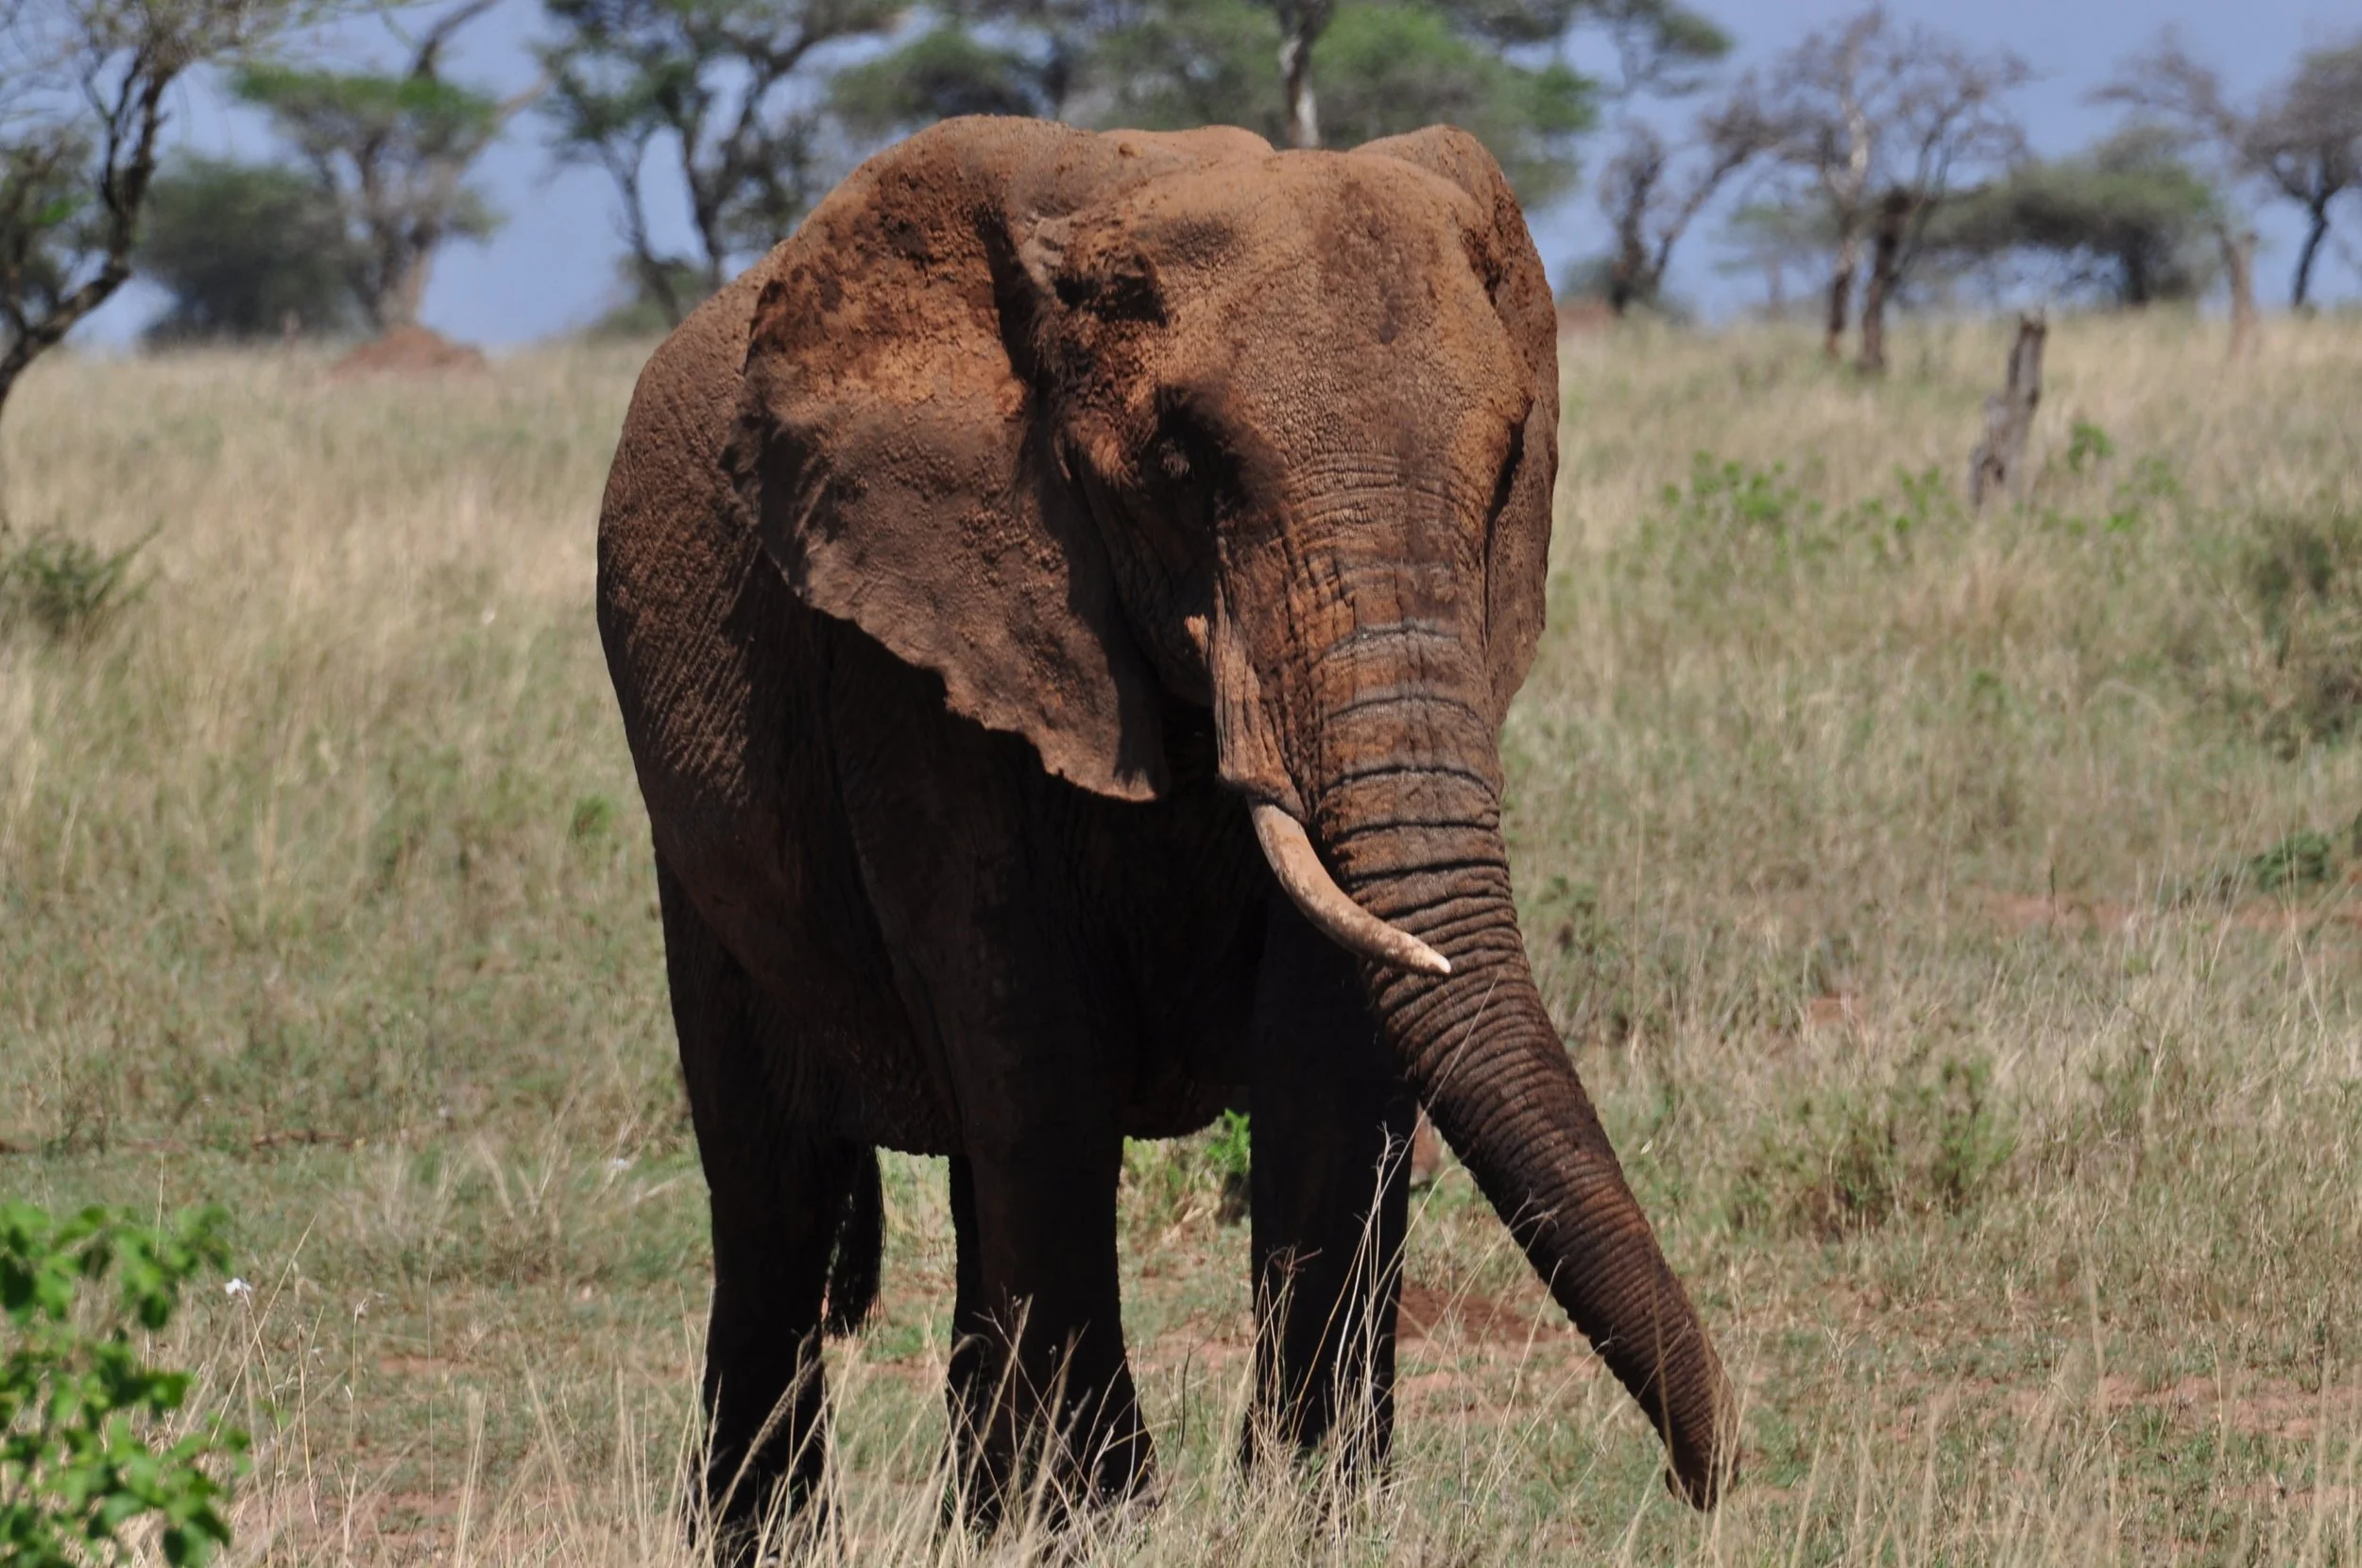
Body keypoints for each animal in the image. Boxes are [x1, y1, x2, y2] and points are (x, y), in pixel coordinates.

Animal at [595, 114, 1737, 1544]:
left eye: (1506, 471)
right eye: (1189, 467)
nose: (1707, 1484)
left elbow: (1328, 1057)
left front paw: (1311, 1518)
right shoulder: (915, 646)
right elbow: (1032, 1045)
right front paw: (1105, 1522)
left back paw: (985, 1521)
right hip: (696, 841)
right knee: (775, 1201)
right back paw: (776, 1535)